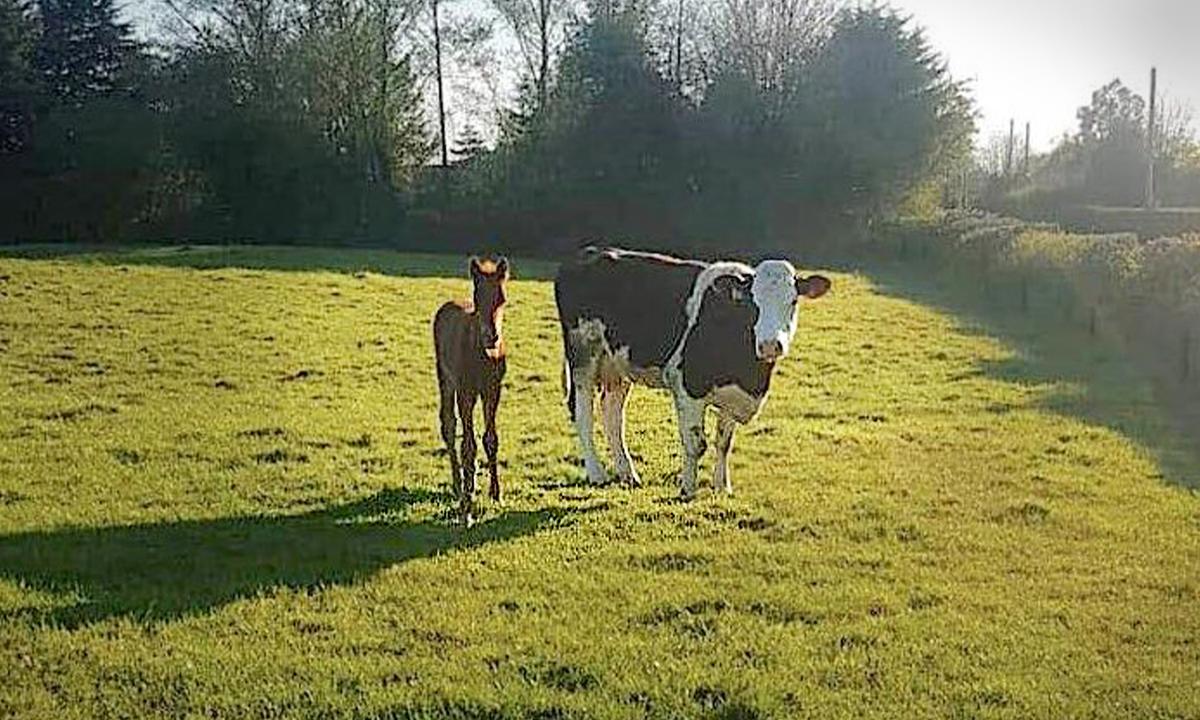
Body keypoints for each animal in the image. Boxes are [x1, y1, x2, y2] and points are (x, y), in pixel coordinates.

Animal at [433, 257, 509, 525]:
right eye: (478, 298)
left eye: (501, 298)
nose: (492, 336)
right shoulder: (464, 392)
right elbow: (468, 445)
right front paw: (467, 507)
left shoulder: (492, 391)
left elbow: (490, 439)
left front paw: (496, 494)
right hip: (445, 379)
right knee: (449, 424)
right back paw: (459, 486)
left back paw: (470, 483)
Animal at [554, 246, 830, 499]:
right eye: (752, 303)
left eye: (793, 301)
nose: (771, 345)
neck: (748, 374)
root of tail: (589, 252)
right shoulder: (687, 386)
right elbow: (696, 444)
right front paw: (687, 489)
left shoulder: (733, 396)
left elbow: (723, 442)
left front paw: (722, 487)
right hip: (582, 354)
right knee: (583, 414)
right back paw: (597, 473)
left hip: (616, 363)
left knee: (612, 416)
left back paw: (628, 473)